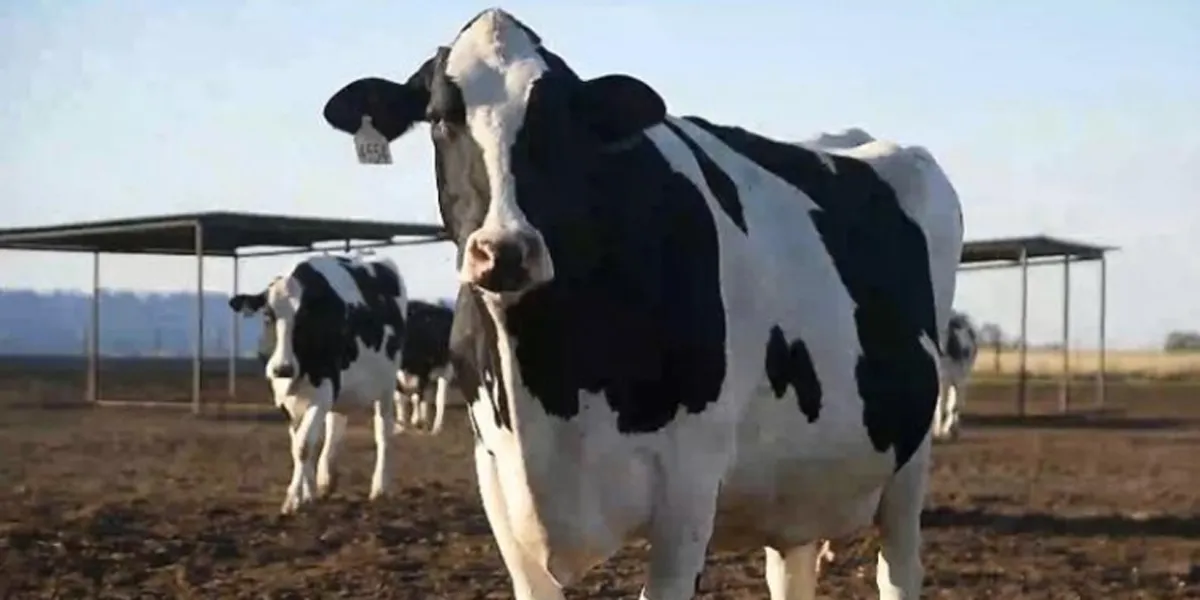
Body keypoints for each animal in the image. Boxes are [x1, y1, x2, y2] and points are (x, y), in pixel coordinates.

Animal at [228, 254, 407, 514]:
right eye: (268, 315)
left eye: (303, 317)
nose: (282, 368)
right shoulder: (284, 398)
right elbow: (299, 446)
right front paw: (308, 493)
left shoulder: (324, 389)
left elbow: (304, 445)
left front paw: (293, 500)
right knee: (335, 426)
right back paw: (326, 480)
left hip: (386, 384)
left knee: (383, 432)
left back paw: (380, 488)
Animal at [394, 299, 455, 435]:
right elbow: (400, 397)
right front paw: (400, 426)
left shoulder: (423, 371)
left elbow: (417, 397)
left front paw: (418, 421)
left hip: (446, 370)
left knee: (439, 398)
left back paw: (436, 427)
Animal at [933, 311, 978, 441]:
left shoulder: (946, 380)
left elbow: (945, 406)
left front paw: (940, 431)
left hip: (961, 379)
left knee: (955, 405)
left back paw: (949, 430)